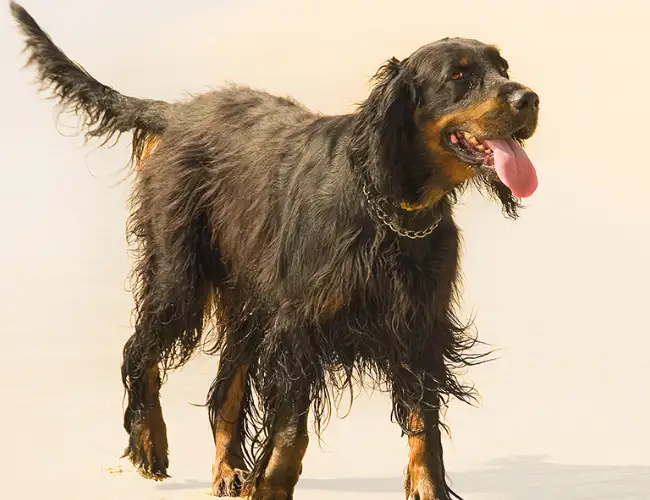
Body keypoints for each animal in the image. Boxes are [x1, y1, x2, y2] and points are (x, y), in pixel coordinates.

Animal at [11, 1, 536, 498]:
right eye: (458, 75)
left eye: (503, 66)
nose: (529, 98)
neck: (389, 206)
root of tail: (178, 113)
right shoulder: (298, 328)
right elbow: (289, 430)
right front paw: (270, 487)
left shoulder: (418, 327)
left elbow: (423, 429)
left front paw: (428, 489)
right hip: (180, 276)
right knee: (138, 351)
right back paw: (148, 445)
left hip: (249, 299)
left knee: (225, 388)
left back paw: (227, 470)